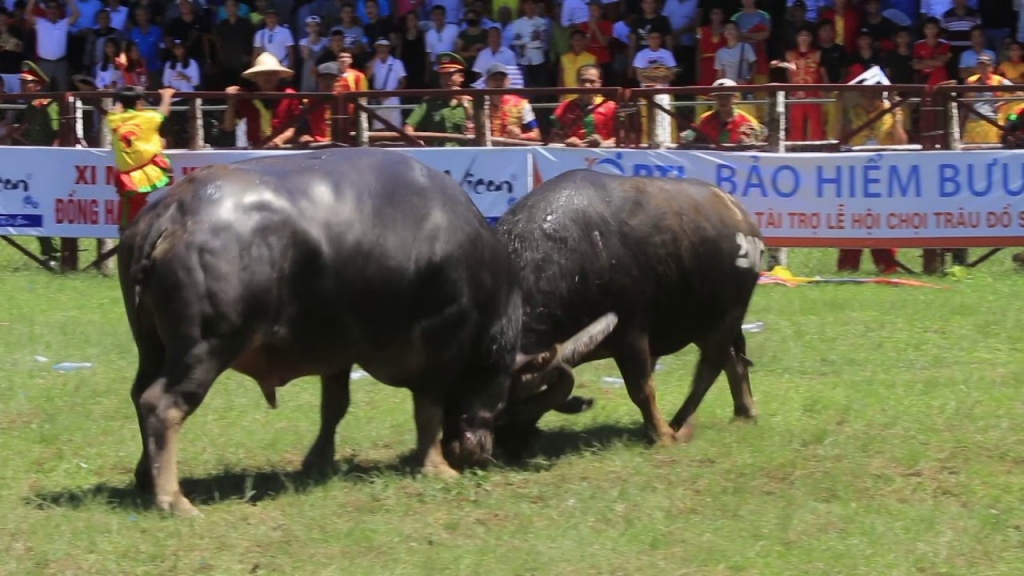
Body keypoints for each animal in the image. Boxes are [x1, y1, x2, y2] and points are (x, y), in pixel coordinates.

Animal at [117, 149, 616, 515]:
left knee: (139, 395)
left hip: (152, 346)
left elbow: (334, 408)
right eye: (507, 399)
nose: (479, 452)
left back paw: (145, 478)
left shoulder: (337, 352)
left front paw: (318, 463)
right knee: (162, 405)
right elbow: (428, 411)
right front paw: (435, 465)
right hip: (206, 347)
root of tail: (172, 213)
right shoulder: (440, 353)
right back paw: (173, 498)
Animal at [495, 170, 764, 456]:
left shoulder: (631, 334)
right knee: (733, 361)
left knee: (709, 369)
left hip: (726, 318)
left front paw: (661, 435)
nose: (503, 446)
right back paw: (744, 413)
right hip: (701, 324)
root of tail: (742, 217)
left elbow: (642, 389)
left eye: (516, 405)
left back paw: (679, 424)